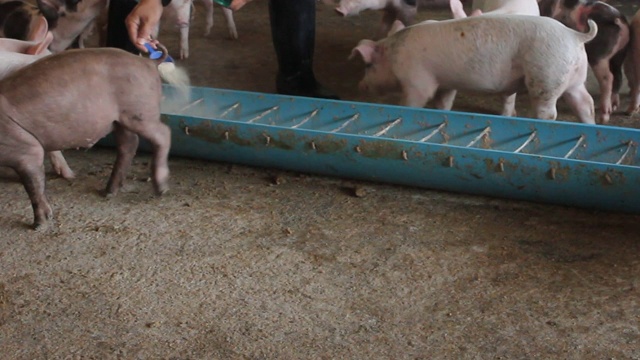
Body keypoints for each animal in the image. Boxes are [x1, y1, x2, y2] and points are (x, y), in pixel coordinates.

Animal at [350, 15, 596, 124]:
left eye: (368, 65)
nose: (361, 85)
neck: (394, 53)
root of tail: (575, 35)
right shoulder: (446, 83)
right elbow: (443, 102)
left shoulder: (417, 80)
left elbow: (415, 100)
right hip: (574, 78)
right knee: (586, 103)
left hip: (546, 74)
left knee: (549, 111)